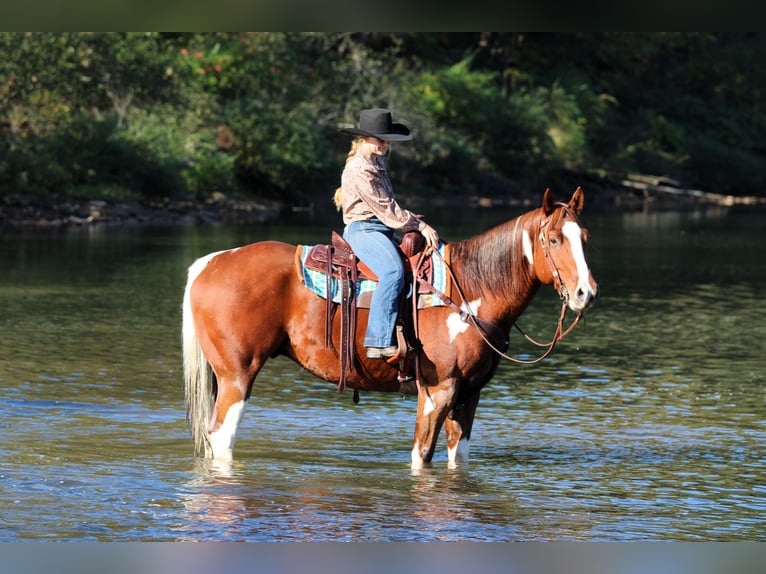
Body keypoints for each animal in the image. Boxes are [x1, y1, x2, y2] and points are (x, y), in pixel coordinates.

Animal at [182, 187, 599, 467]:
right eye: (554, 238)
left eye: (585, 238)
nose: (586, 293)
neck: (470, 292)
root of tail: (211, 262)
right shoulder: (437, 391)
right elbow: (421, 458)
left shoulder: (469, 394)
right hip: (238, 375)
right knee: (222, 438)